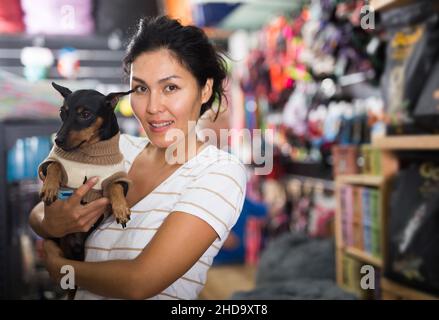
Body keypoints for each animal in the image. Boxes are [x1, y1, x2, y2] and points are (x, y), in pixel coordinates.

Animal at [37, 83, 134, 298]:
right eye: (62, 112)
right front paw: (50, 188)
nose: (57, 140)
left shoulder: (119, 178)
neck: (90, 152)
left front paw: (121, 210)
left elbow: (115, 186)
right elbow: (54, 166)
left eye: (85, 114)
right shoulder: (48, 163)